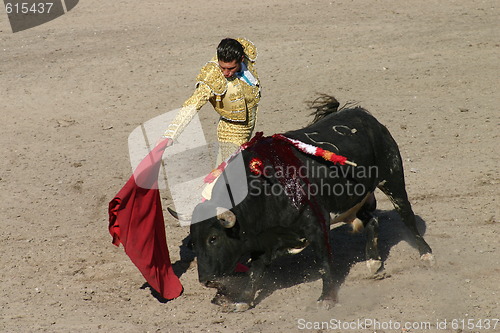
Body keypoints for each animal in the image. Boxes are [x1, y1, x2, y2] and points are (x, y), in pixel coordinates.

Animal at [188, 96, 434, 312]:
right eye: (193, 243)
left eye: (213, 238)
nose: (206, 280)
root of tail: (363, 115)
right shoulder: (264, 240)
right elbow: (255, 271)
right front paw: (243, 301)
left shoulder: (316, 225)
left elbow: (324, 262)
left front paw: (327, 299)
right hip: (355, 200)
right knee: (372, 221)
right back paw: (374, 263)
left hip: (392, 177)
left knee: (406, 215)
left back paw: (426, 254)